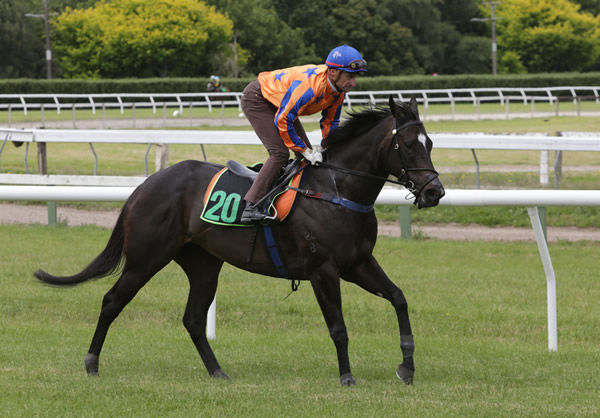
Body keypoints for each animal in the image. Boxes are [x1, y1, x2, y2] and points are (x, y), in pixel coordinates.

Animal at [34, 96, 446, 386]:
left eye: (430, 143)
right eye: (409, 145)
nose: (434, 192)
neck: (337, 190)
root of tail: (146, 185)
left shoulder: (358, 264)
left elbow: (399, 298)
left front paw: (407, 367)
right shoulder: (323, 271)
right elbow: (338, 327)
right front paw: (347, 377)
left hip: (203, 263)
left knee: (193, 318)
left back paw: (218, 372)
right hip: (146, 259)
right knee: (112, 301)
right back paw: (91, 363)